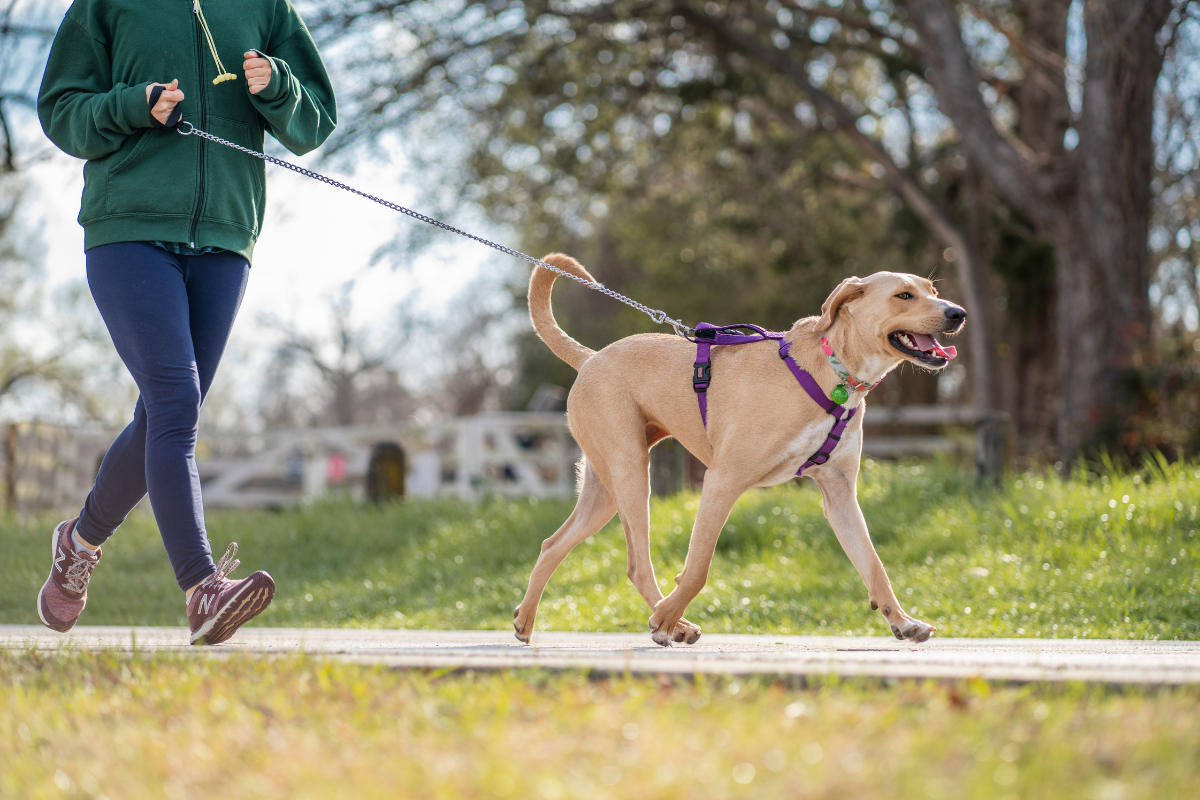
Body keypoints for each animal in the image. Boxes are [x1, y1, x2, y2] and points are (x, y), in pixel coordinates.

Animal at [513, 256, 964, 642]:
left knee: (553, 545)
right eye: (903, 295)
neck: (836, 374)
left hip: (604, 491)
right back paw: (672, 622)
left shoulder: (839, 496)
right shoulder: (722, 481)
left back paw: (525, 620)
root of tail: (590, 358)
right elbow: (697, 569)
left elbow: (873, 564)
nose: (957, 313)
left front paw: (903, 622)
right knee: (637, 565)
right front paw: (666, 618)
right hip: (630, 474)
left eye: (932, 289)